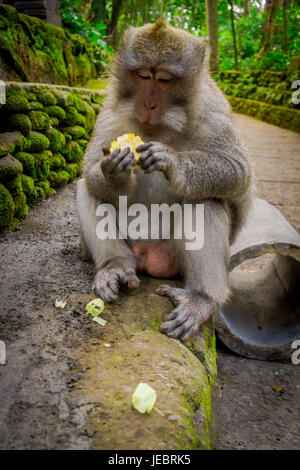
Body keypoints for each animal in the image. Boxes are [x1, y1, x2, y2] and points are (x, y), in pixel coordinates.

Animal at [76, 18, 252, 342]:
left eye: (166, 79)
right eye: (144, 76)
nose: (149, 105)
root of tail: (148, 255)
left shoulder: (212, 110)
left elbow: (237, 171)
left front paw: (172, 161)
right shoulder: (110, 111)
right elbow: (91, 167)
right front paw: (112, 171)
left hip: (174, 258)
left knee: (205, 199)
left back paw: (201, 298)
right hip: (131, 245)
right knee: (89, 189)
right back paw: (115, 266)